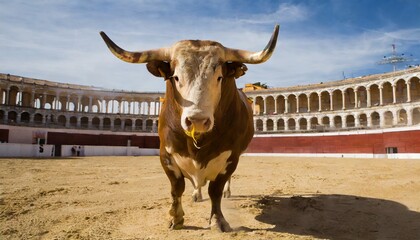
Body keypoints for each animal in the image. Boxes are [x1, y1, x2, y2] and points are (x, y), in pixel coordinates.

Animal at [99, 24, 278, 232]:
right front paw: (175, 218)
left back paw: (226, 192)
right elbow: (176, 188)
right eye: (176, 77)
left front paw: (218, 220)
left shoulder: (231, 156)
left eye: (219, 77)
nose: (197, 121)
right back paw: (196, 194)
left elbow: (216, 190)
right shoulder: (165, 153)